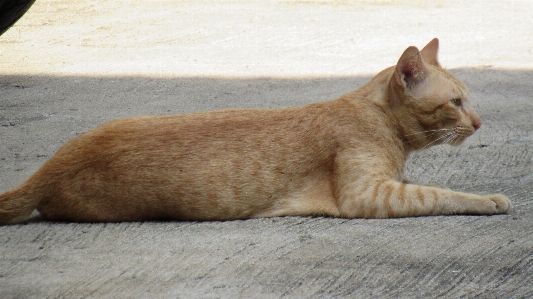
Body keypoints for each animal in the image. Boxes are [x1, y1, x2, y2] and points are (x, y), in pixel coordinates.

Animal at [0, 38, 510, 225]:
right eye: (456, 102)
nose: (480, 122)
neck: (379, 120)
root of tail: (52, 164)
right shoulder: (367, 195)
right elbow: (439, 194)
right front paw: (489, 200)